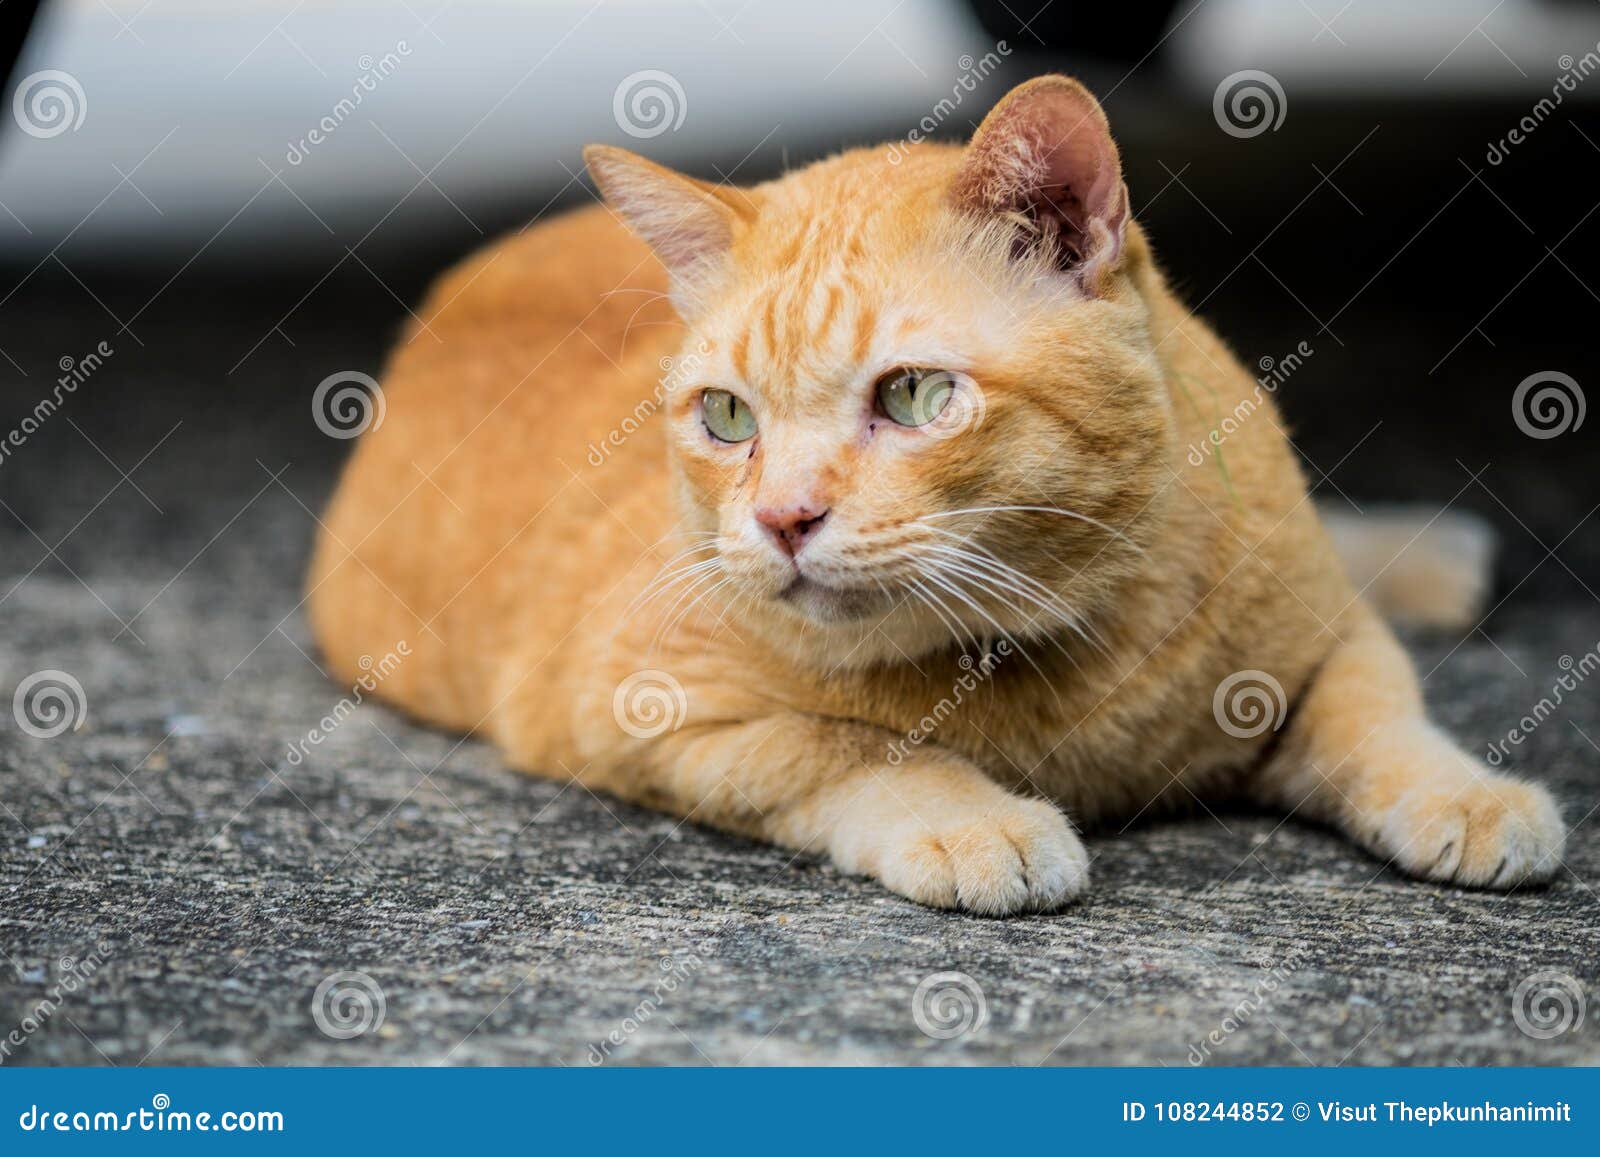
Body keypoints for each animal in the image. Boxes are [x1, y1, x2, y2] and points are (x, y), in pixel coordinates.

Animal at [308, 79, 1561, 915]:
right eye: (727, 418)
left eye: (912, 393)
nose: (782, 519)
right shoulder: (643, 705)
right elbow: (848, 748)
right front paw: (974, 815)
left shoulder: (1317, 637)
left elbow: (1383, 714)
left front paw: (1468, 792)